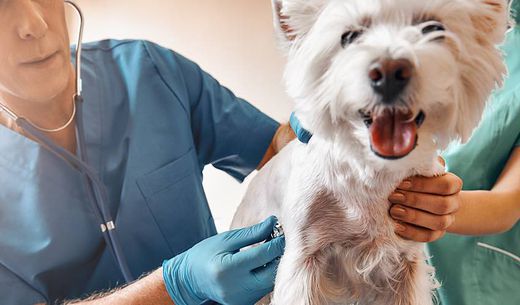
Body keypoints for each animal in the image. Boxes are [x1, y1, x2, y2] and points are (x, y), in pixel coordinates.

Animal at [232, 1, 508, 302]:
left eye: (433, 28)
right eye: (349, 37)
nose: (389, 71)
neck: (372, 175)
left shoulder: (407, 263)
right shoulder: (303, 259)